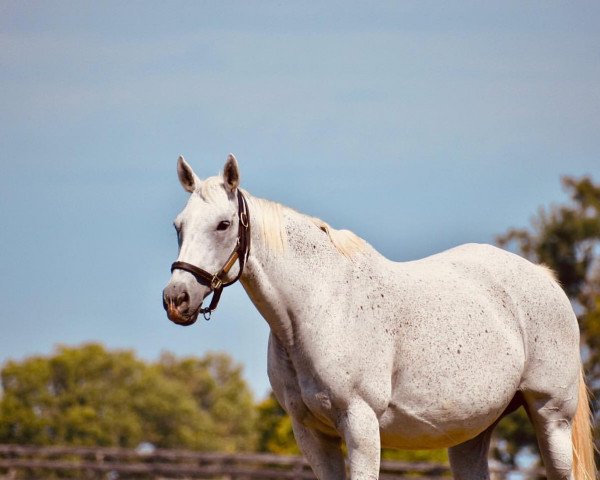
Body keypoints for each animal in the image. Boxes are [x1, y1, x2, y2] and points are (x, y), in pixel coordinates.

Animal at [162, 156, 596, 478]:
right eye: (179, 226)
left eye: (223, 224)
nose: (176, 298)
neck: (320, 307)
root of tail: (543, 278)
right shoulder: (312, 435)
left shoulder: (361, 425)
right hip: (471, 433)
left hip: (550, 419)